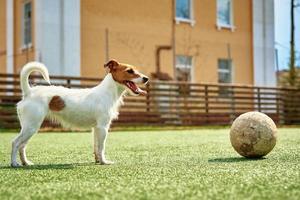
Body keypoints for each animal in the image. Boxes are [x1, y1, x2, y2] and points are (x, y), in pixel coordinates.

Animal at [10, 59, 149, 167]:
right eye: (129, 71)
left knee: (22, 146)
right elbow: (101, 147)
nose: (146, 78)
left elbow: (96, 147)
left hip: (29, 127)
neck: (107, 92)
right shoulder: (103, 127)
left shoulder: (96, 128)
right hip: (31, 127)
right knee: (15, 143)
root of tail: (29, 92)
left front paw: (98, 160)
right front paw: (104, 162)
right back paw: (14, 163)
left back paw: (25, 163)